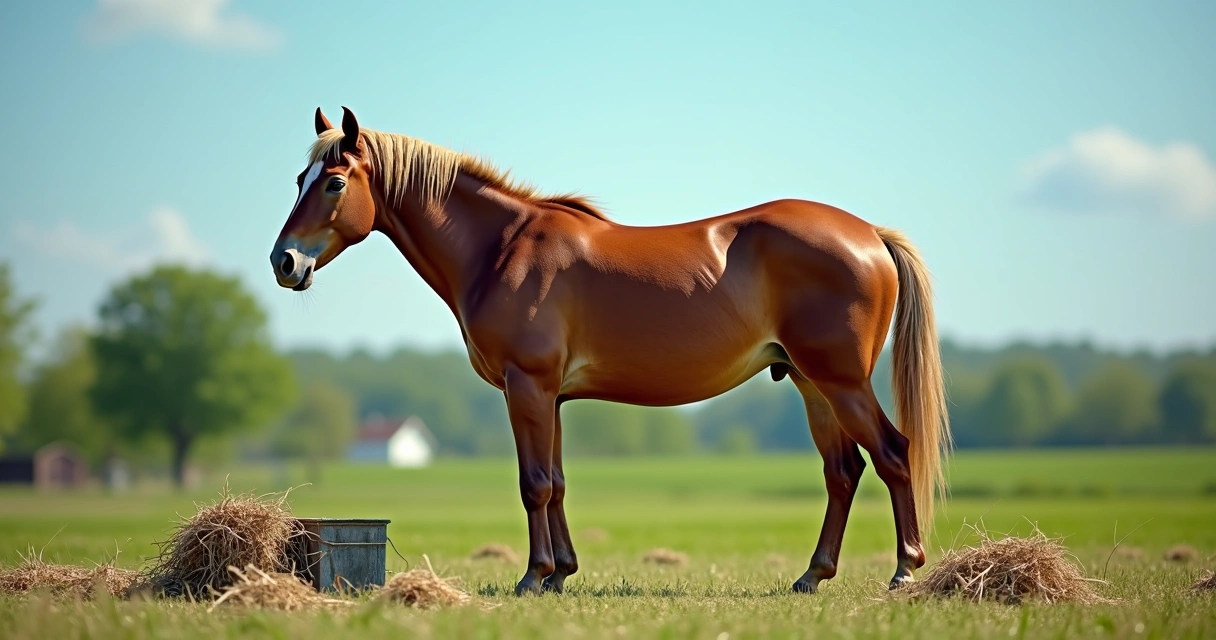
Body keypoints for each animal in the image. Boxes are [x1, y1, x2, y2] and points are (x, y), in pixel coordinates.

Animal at [270, 106, 951, 596]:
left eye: (333, 182)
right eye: (298, 179)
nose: (285, 262)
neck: (502, 249)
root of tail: (869, 234)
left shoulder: (528, 385)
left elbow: (534, 484)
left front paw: (532, 577)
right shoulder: (553, 396)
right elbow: (557, 482)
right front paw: (562, 573)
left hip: (841, 382)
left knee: (892, 454)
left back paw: (904, 570)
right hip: (811, 385)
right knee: (843, 472)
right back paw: (813, 576)